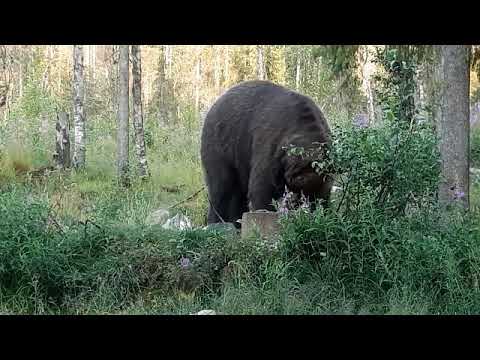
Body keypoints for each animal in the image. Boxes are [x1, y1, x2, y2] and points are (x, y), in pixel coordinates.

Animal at [201, 81, 332, 225]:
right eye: (297, 166)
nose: (304, 177)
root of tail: (215, 103)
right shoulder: (271, 143)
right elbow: (262, 186)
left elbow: (323, 195)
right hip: (222, 143)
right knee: (220, 186)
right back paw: (216, 221)